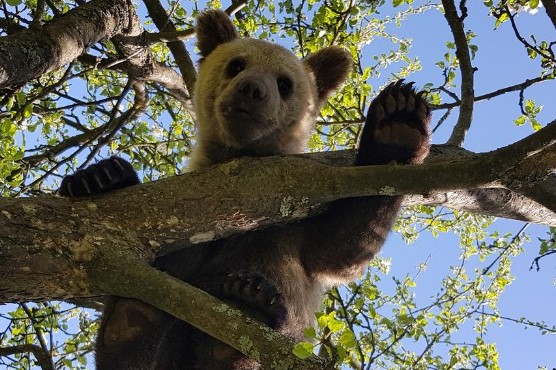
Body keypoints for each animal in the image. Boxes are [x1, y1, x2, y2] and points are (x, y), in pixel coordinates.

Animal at [58, 8, 432, 370]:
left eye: (285, 83)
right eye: (236, 64)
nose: (252, 89)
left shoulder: (291, 222)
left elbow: (340, 249)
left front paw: (396, 122)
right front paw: (98, 176)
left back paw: (246, 304)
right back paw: (132, 319)